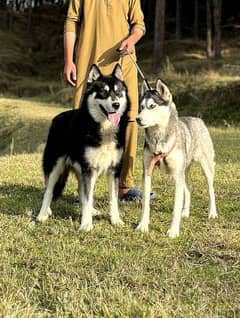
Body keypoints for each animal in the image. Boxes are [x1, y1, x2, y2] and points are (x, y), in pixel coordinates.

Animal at [36, 63, 129, 230]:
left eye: (118, 92)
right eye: (103, 92)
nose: (116, 105)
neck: (104, 129)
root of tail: (57, 118)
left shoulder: (113, 170)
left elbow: (112, 199)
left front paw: (115, 220)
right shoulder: (89, 169)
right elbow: (86, 197)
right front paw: (86, 224)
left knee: (81, 190)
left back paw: (92, 210)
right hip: (56, 166)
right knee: (49, 191)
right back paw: (43, 214)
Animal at [135, 80, 218, 236]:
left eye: (152, 106)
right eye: (141, 107)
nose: (137, 119)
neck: (159, 140)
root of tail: (197, 119)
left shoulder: (177, 176)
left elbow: (175, 207)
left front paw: (173, 231)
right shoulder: (147, 171)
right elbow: (145, 203)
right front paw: (143, 225)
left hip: (205, 167)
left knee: (211, 190)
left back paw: (212, 213)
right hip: (182, 172)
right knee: (188, 190)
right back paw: (185, 212)